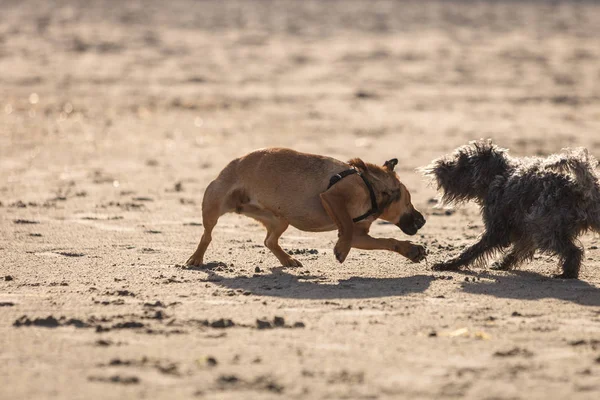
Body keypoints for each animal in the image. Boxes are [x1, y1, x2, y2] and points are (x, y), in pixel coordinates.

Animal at [188, 148, 426, 268]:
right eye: (408, 201)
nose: (423, 220)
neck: (370, 185)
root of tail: (233, 162)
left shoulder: (360, 236)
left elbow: (387, 241)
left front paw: (411, 250)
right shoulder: (332, 197)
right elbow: (346, 228)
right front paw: (342, 249)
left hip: (280, 220)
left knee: (269, 241)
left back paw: (287, 259)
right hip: (213, 205)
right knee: (207, 235)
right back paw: (196, 258)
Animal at [422, 140, 600, 278]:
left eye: (461, 163)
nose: (440, 165)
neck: (499, 174)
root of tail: (580, 186)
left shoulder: (498, 229)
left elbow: (473, 249)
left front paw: (449, 264)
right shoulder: (526, 230)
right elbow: (518, 249)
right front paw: (503, 263)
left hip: (544, 228)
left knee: (574, 251)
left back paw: (567, 274)